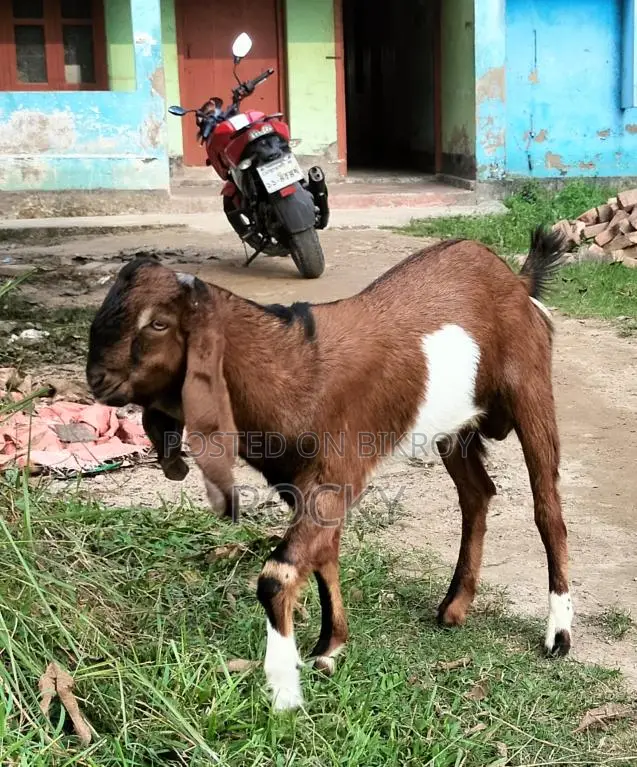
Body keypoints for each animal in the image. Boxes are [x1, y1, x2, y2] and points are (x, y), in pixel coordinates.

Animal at [86, 227, 573, 712]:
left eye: (158, 324)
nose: (97, 379)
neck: (296, 371)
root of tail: (517, 281)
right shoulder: (298, 482)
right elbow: (324, 557)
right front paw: (329, 647)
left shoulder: (333, 475)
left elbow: (277, 575)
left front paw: (285, 692)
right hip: (457, 425)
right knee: (477, 495)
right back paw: (455, 606)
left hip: (530, 387)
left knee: (547, 509)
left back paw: (559, 632)